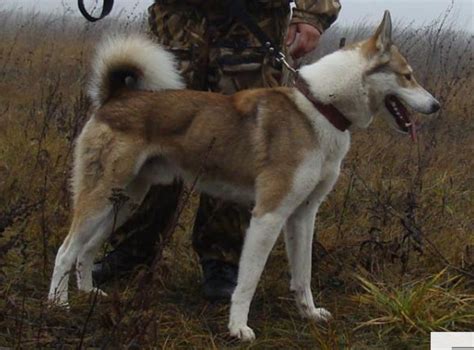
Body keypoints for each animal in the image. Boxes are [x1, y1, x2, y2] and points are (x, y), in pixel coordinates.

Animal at [49, 11, 440, 342]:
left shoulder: (303, 215)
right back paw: (58, 305)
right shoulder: (268, 216)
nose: (436, 106)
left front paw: (309, 314)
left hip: (126, 200)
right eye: (408, 75)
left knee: (87, 248)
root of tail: (117, 96)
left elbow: (303, 275)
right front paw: (238, 328)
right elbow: (247, 281)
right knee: (66, 250)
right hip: (101, 196)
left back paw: (88, 291)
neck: (320, 108)